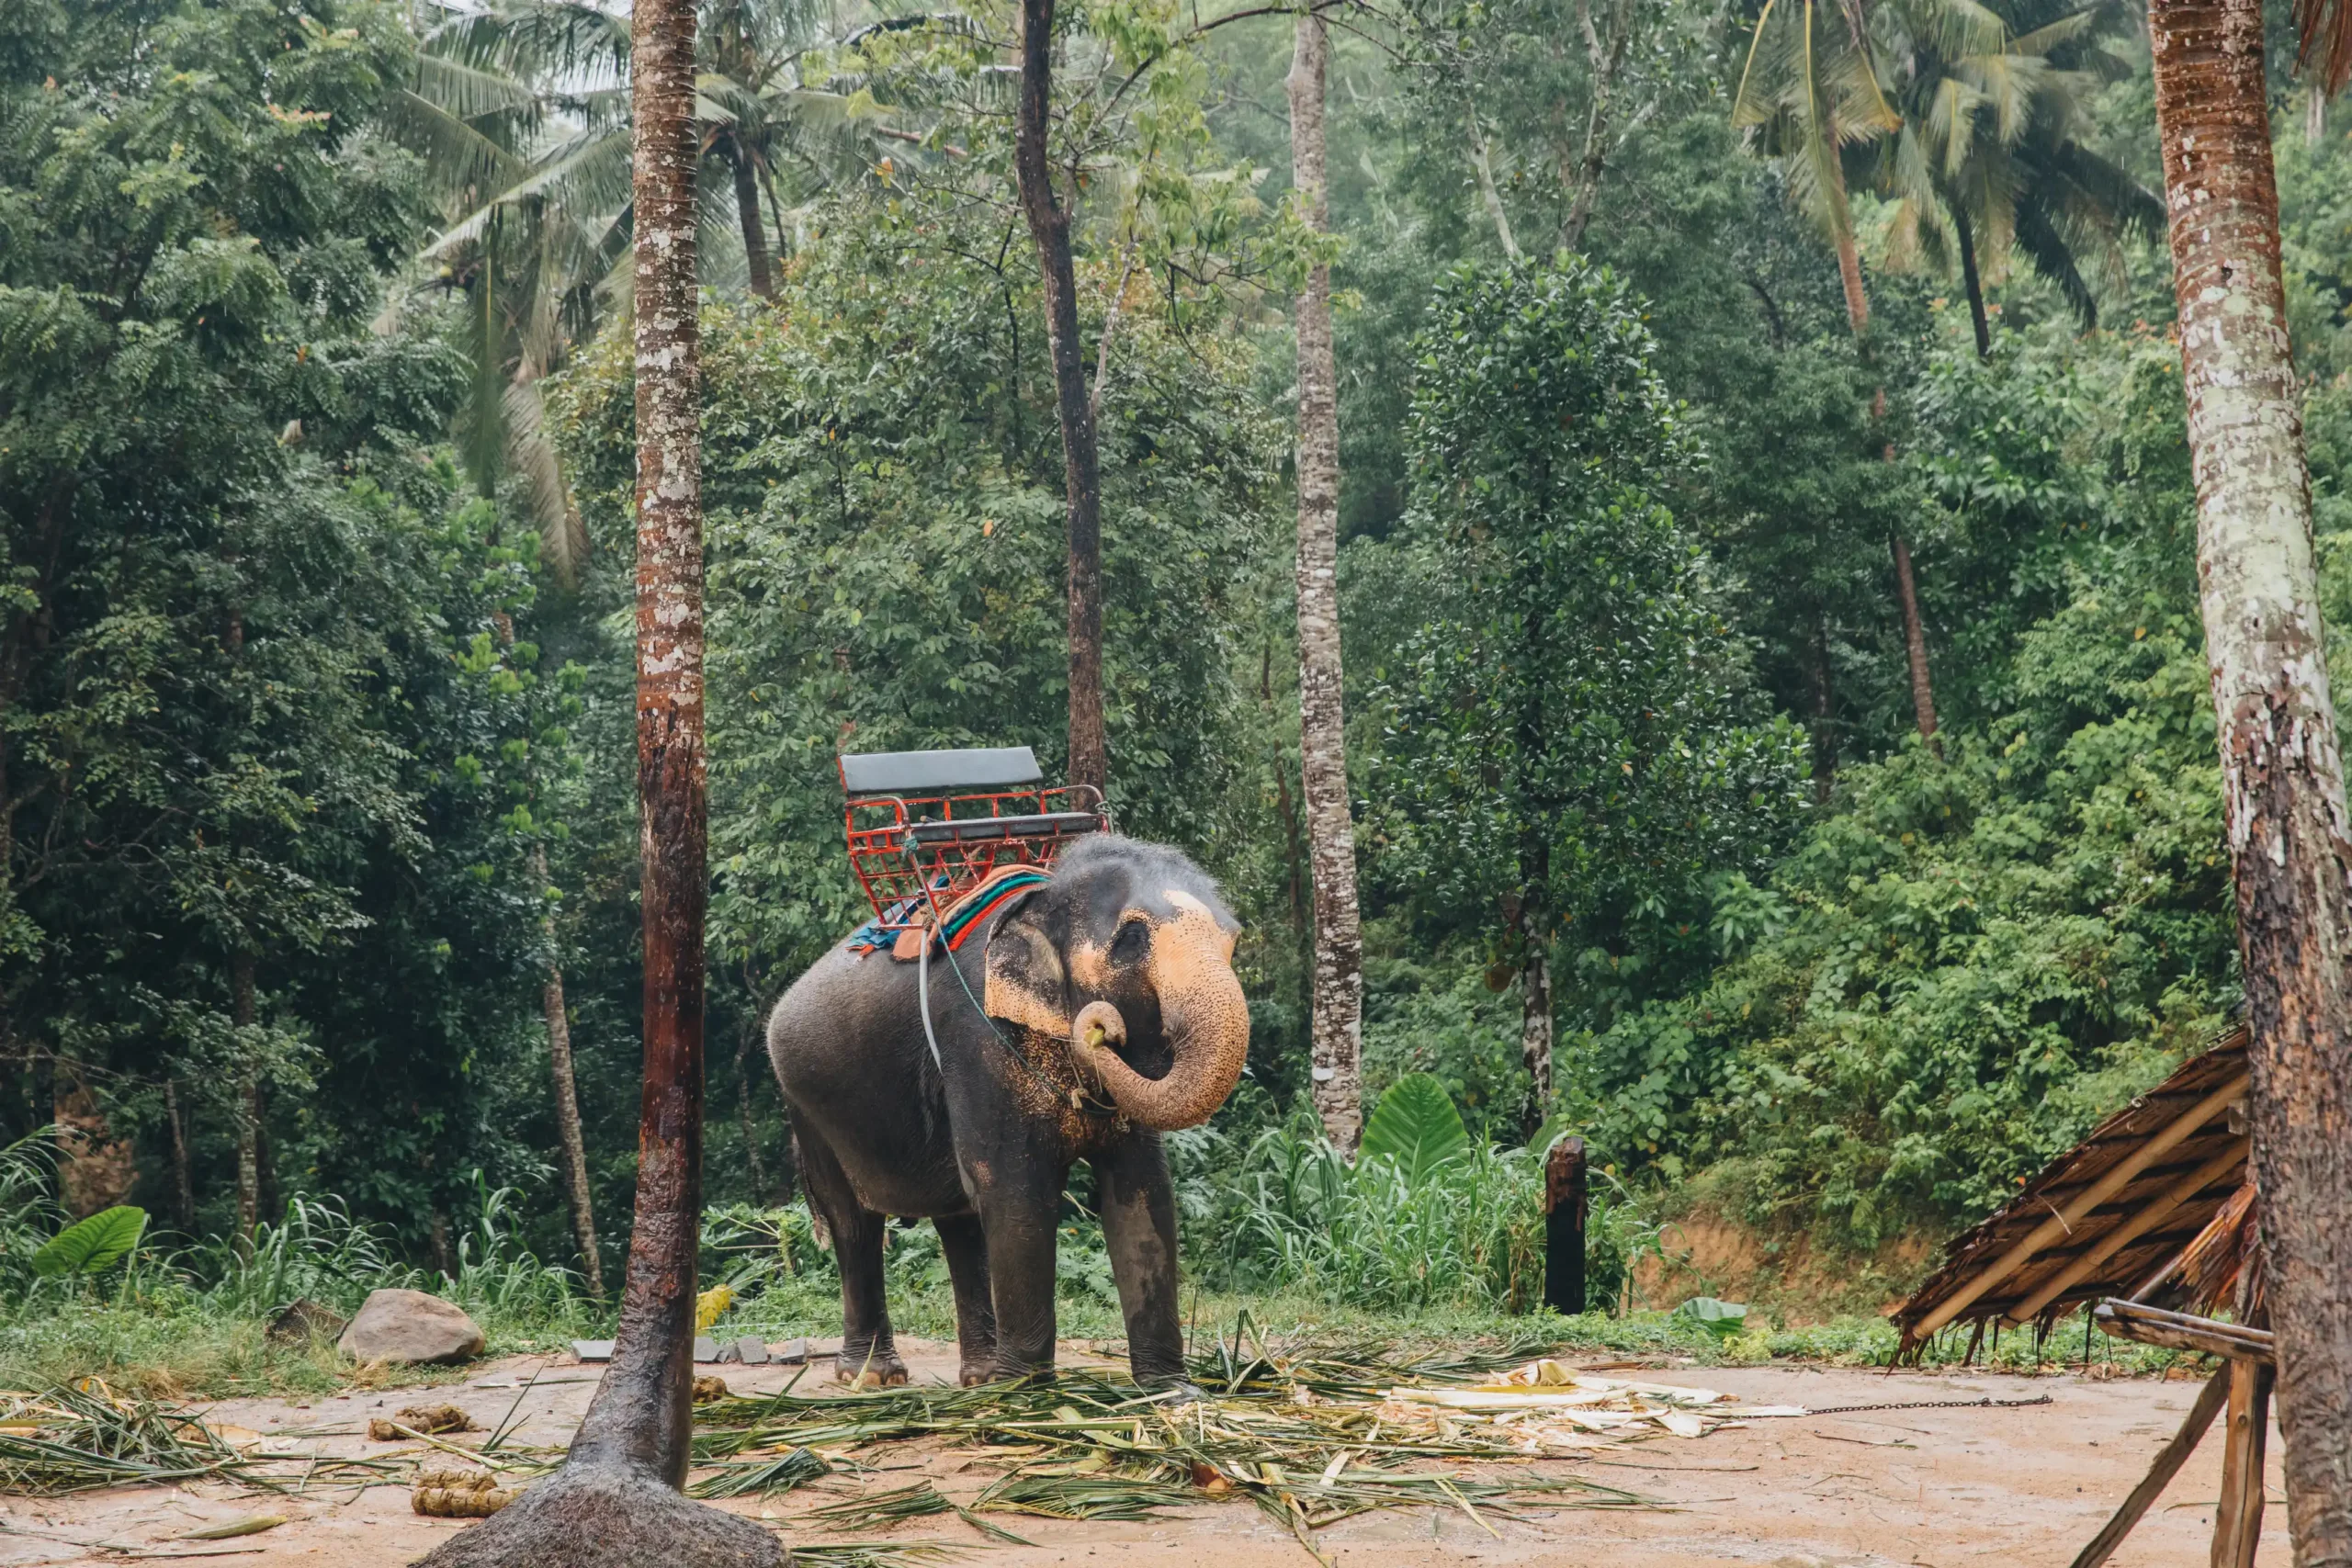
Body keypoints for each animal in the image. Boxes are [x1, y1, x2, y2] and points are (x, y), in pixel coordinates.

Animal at [765, 834, 1249, 1389]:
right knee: (854, 1224)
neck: (1046, 895)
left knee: (959, 1222)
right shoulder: (980, 1038)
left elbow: (1143, 1191)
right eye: (1130, 940)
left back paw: (979, 1377)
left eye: (1233, 943)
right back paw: (873, 1377)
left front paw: (1171, 1392)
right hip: (809, 1110)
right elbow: (1017, 1190)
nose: (1103, 1030)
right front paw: (1030, 1393)